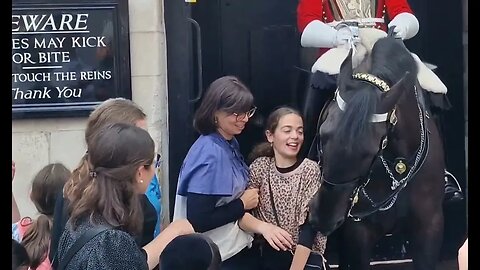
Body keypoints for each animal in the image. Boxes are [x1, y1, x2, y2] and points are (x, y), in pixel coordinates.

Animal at [310, 36, 444, 270]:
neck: (398, 164)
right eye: (323, 134)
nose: (323, 217)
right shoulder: (359, 232)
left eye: (370, 151)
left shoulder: (429, 227)